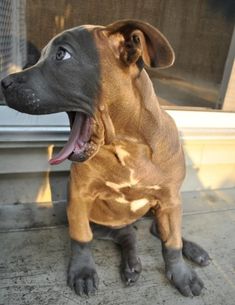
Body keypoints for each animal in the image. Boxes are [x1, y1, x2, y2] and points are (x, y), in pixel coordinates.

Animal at [0, 19, 210, 296]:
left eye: (62, 54)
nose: (4, 82)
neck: (127, 146)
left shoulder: (169, 201)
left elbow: (172, 242)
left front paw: (181, 274)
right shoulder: (79, 196)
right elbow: (81, 238)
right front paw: (83, 272)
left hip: (159, 208)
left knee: (158, 230)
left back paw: (193, 250)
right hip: (106, 223)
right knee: (127, 235)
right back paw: (131, 265)